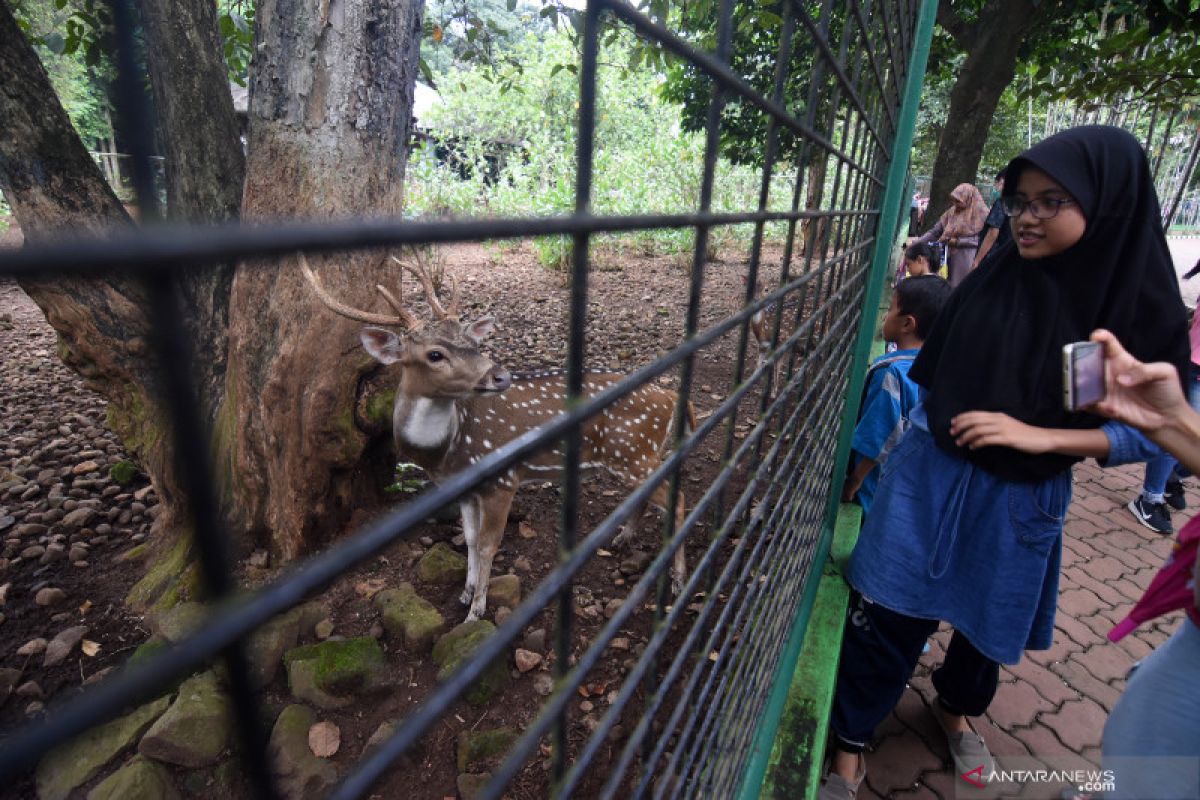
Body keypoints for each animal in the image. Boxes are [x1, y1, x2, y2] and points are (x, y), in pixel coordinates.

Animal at [302, 253, 696, 623]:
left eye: (473, 343)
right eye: (435, 354)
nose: (500, 376)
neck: (448, 451)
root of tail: (673, 397)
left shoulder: (503, 480)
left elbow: (488, 545)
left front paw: (476, 610)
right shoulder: (461, 489)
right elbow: (470, 540)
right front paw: (465, 593)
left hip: (633, 452)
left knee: (677, 499)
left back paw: (678, 580)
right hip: (634, 457)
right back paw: (624, 539)